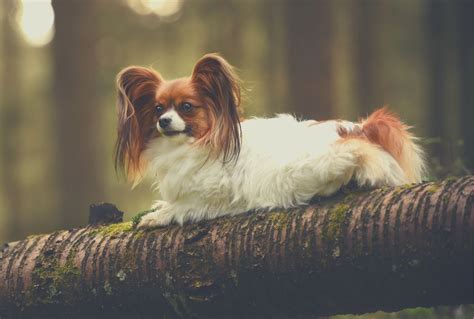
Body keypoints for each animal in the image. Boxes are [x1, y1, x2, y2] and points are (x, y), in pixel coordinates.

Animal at [115, 55, 426, 230]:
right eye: (158, 109)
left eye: (186, 107)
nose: (164, 121)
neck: (195, 143)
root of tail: (359, 128)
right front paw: (159, 206)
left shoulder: (214, 193)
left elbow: (185, 205)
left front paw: (160, 215)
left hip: (322, 163)